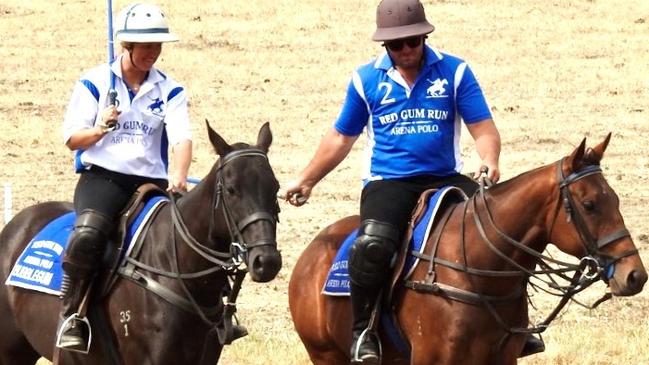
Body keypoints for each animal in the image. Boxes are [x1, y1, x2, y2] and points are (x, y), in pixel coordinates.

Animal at [290, 134, 648, 364]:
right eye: (589, 205)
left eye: (616, 200)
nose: (635, 275)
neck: (480, 273)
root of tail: (309, 255)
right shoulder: (431, 358)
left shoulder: (503, 358)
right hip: (325, 354)